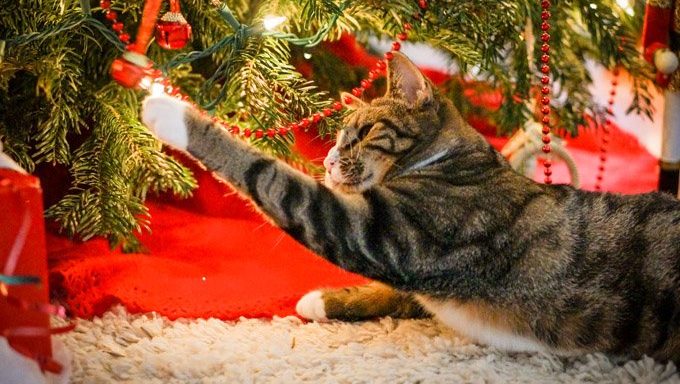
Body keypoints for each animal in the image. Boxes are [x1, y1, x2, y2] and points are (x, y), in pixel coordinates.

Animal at [143, 51, 680, 364]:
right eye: (338, 136)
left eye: (362, 133)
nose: (330, 159)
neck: (453, 161)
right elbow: (395, 294)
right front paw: (326, 300)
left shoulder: (389, 232)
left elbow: (272, 177)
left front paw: (170, 111)